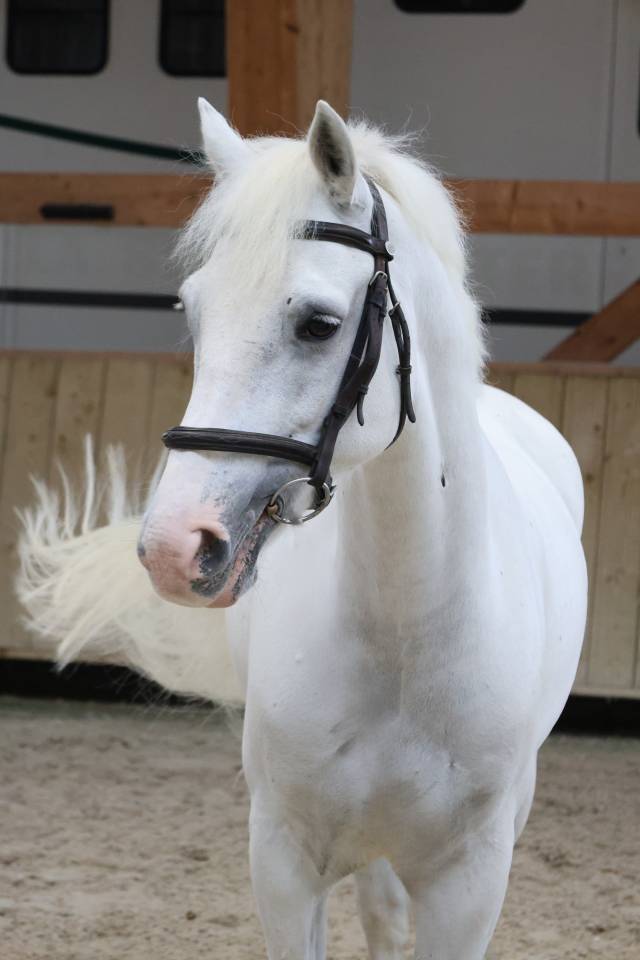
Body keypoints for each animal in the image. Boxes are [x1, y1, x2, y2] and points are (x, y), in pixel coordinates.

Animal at [17, 99, 587, 959]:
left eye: (318, 324)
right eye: (194, 313)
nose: (175, 549)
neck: (406, 635)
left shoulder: (471, 885)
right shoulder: (283, 863)